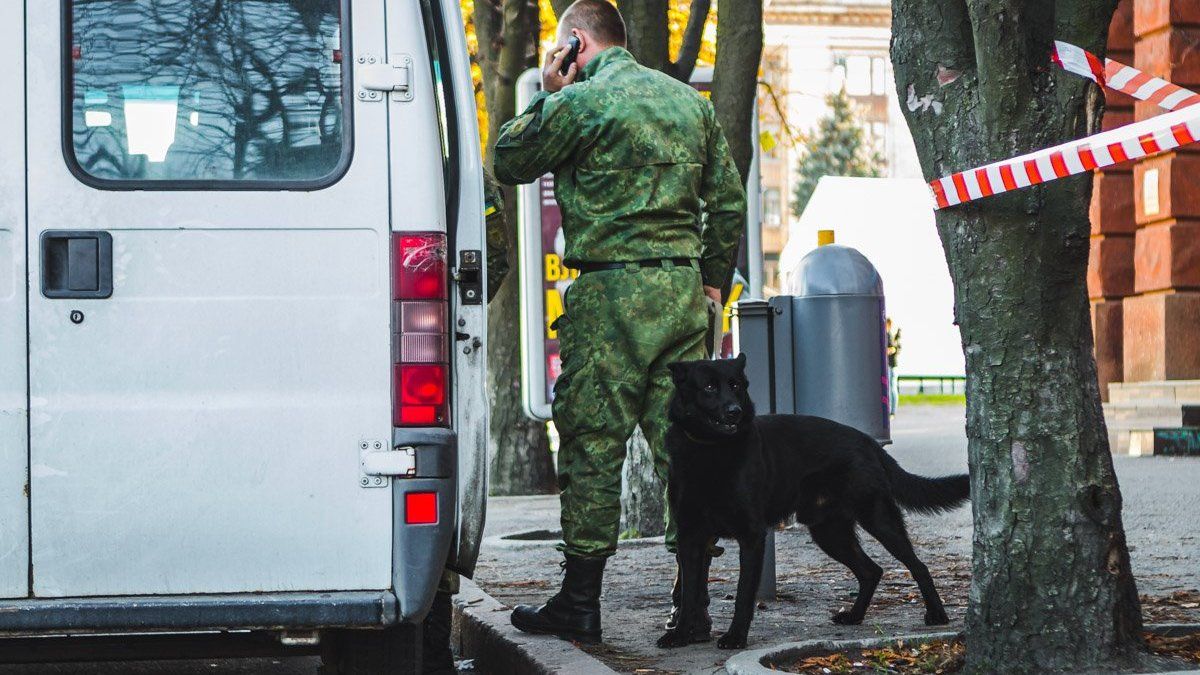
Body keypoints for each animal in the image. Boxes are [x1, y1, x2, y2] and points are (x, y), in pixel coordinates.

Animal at [662, 355, 969, 648]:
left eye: (736, 385)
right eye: (709, 387)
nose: (734, 411)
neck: (709, 449)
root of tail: (866, 440)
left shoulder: (751, 536)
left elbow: (743, 594)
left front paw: (735, 637)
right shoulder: (690, 537)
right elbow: (689, 593)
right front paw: (680, 635)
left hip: (878, 519)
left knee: (917, 566)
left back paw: (936, 614)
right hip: (830, 533)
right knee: (871, 571)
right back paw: (855, 616)